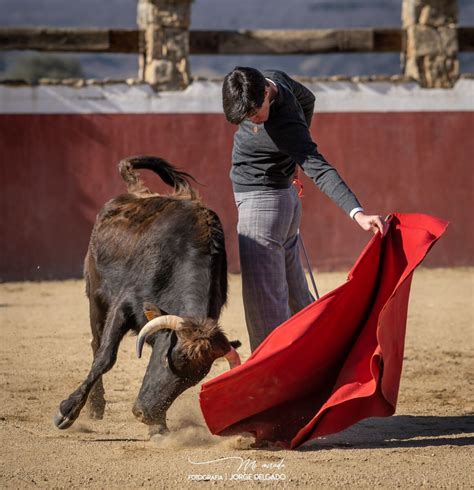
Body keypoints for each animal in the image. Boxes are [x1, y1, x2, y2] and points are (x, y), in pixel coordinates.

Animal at [53, 155, 241, 434]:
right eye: (165, 359)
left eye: (193, 380)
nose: (146, 414)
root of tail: (137, 193)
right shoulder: (123, 304)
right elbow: (105, 358)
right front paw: (67, 411)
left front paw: (159, 427)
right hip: (95, 295)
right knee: (96, 344)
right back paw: (95, 406)